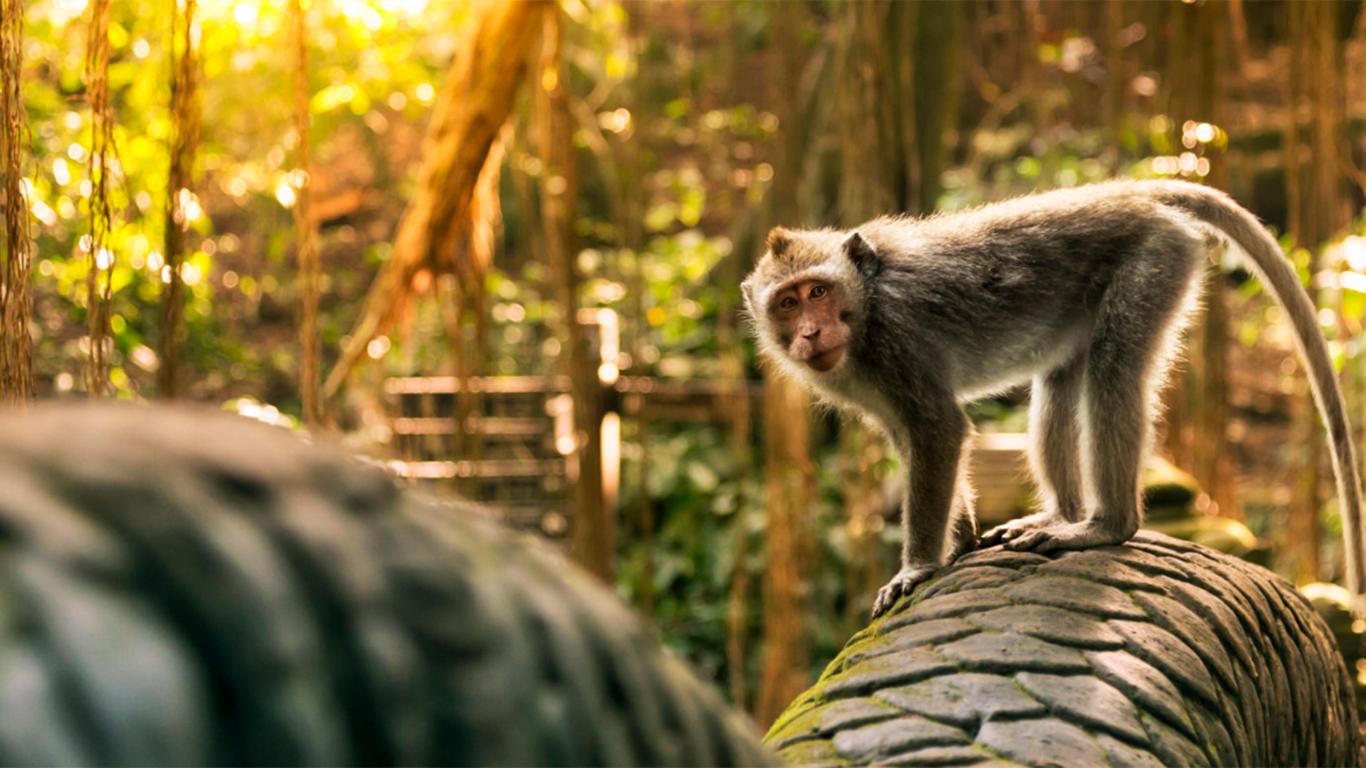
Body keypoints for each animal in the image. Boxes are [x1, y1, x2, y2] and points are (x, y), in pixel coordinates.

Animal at [748, 179, 1366, 614]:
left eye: (819, 292)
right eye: (788, 303)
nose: (811, 334)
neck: (867, 304)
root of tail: (1131, 193)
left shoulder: (897, 341)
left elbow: (938, 431)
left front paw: (918, 566)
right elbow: (913, 439)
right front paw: (961, 539)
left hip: (1154, 261)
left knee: (1113, 374)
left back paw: (1105, 526)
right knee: (1059, 381)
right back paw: (1062, 514)